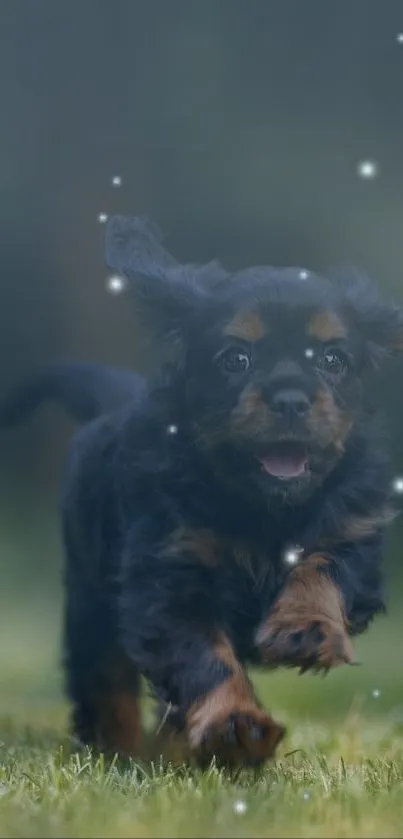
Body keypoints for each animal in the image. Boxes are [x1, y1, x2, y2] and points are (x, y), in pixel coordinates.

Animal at [7, 220, 403, 772]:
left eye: (333, 359)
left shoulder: (354, 533)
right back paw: (123, 751)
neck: (263, 507)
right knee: (104, 680)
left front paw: (305, 628)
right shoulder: (169, 576)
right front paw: (235, 726)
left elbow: (321, 566)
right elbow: (205, 658)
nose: (290, 399)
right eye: (236, 359)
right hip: (91, 599)